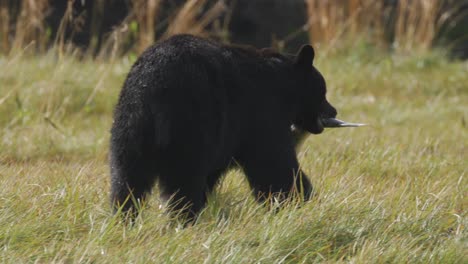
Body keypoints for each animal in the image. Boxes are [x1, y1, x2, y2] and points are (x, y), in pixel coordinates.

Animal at [109, 34, 344, 220]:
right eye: (322, 91)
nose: (333, 111)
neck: (283, 85)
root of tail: (155, 86)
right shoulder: (260, 114)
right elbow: (274, 164)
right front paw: (300, 200)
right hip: (190, 127)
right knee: (184, 181)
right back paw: (184, 220)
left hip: (128, 126)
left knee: (126, 179)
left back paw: (123, 218)